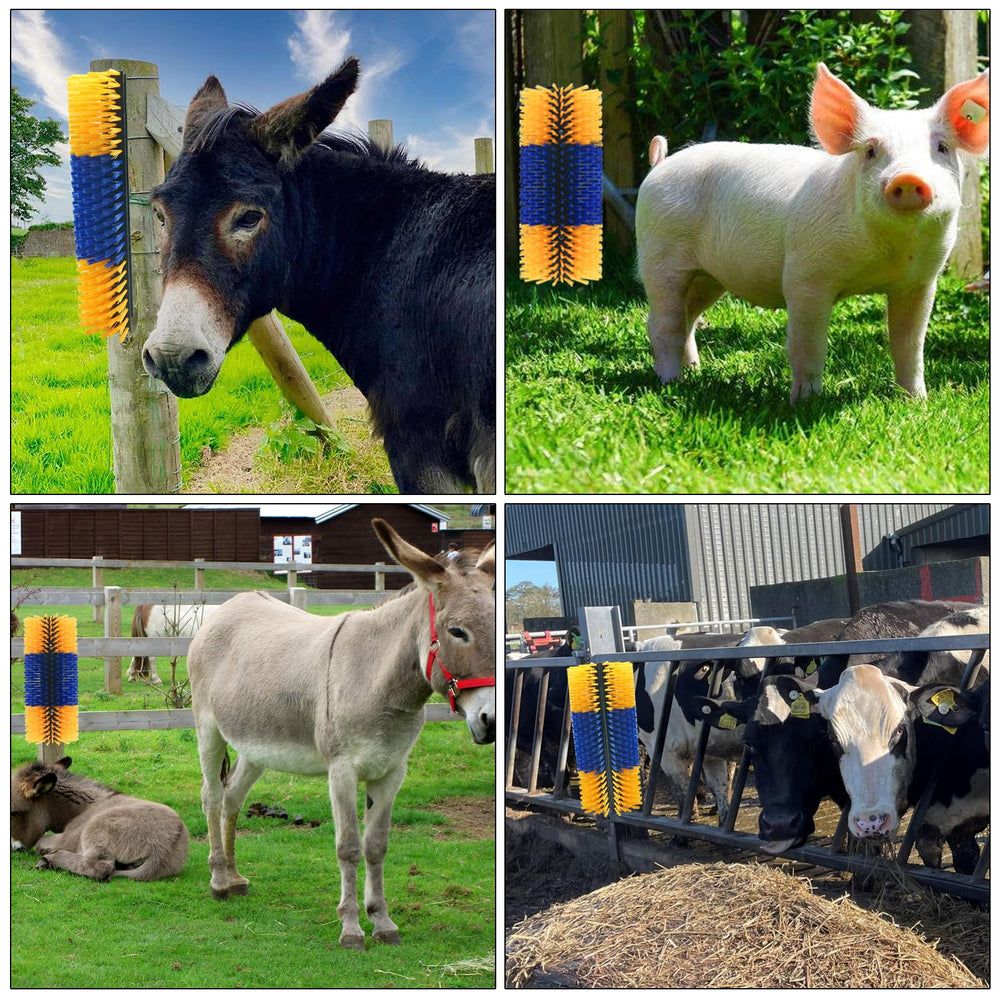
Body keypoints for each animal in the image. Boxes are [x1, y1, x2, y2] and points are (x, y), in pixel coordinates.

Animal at [11, 757, 189, 881]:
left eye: (14, 813)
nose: (14, 849)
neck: (85, 806)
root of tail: (165, 849)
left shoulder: (67, 838)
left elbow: (42, 842)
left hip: (96, 829)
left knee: (99, 867)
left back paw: (48, 860)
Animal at [187, 518, 495, 949]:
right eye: (457, 632)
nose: (491, 721)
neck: (379, 682)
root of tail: (232, 604)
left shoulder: (391, 771)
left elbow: (377, 845)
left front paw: (382, 922)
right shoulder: (342, 770)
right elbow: (348, 847)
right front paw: (351, 929)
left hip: (256, 745)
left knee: (232, 797)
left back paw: (234, 878)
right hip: (208, 729)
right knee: (212, 796)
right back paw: (217, 880)